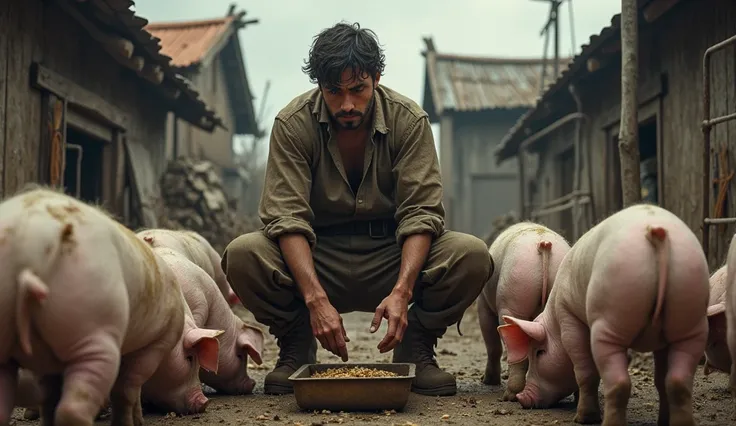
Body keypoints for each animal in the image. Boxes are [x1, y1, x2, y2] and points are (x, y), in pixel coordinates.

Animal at [0, 187, 216, 426]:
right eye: (190, 358)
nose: (204, 402)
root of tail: (27, 257)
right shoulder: (157, 343)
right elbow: (128, 388)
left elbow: (50, 398)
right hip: (93, 327)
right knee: (73, 407)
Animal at [474, 221, 572, 402]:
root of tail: (544, 244)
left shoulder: (483, 305)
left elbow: (492, 344)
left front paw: (488, 381)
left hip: (515, 289)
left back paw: (509, 396)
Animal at [498, 205, 712, 424]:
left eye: (539, 352)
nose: (523, 398)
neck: (555, 320)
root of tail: (655, 231)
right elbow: (660, 379)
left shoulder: (570, 318)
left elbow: (584, 371)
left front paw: (582, 417)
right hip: (690, 313)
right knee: (677, 380)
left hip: (611, 314)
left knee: (619, 381)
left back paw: (590, 418)